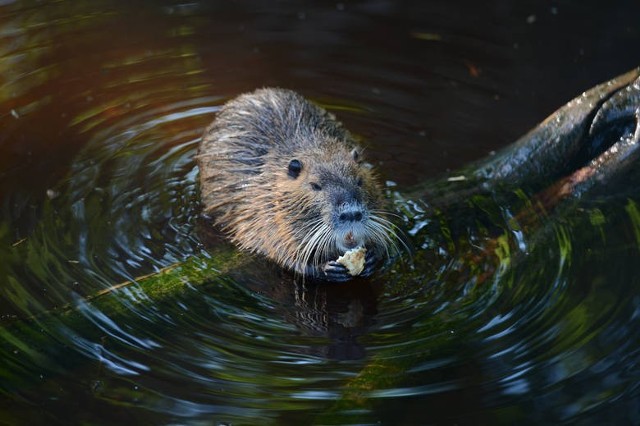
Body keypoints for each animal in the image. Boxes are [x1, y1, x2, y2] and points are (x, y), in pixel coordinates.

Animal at [196, 88, 396, 282]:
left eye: (359, 181)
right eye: (315, 185)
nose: (351, 214)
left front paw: (371, 257)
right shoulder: (258, 209)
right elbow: (275, 248)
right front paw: (326, 269)